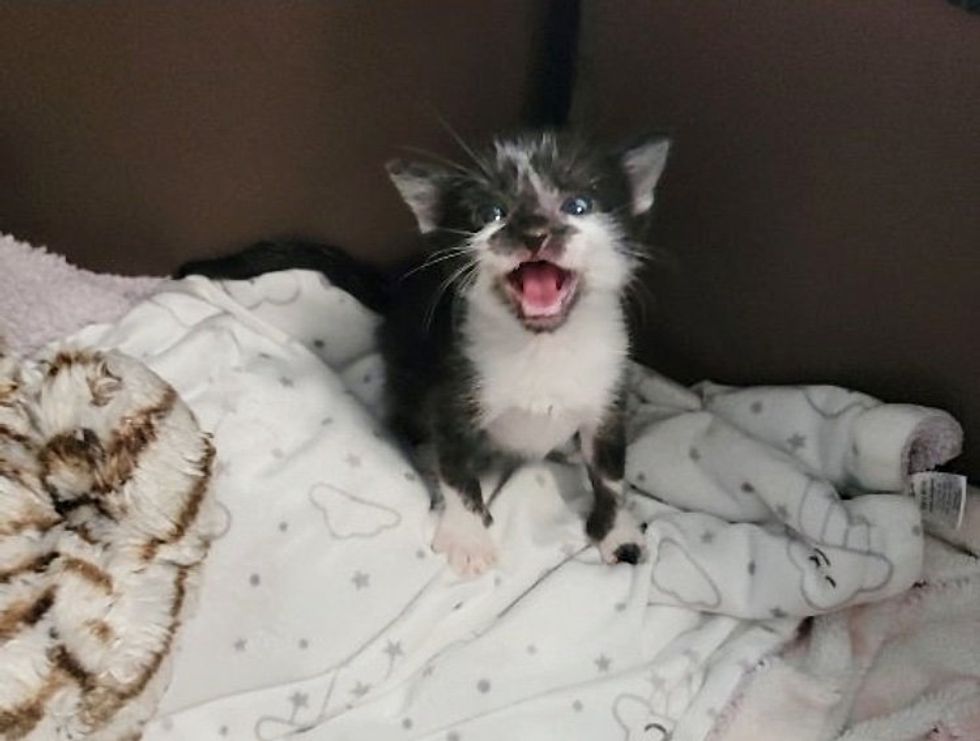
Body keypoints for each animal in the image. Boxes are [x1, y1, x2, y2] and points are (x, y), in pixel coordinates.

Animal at [178, 130, 672, 576]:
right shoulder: (450, 391)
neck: (541, 346)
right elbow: (456, 470)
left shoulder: (607, 393)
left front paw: (618, 532)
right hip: (409, 368)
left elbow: (610, 472)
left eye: (579, 205)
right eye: (490, 213)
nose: (534, 233)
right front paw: (468, 536)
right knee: (407, 420)